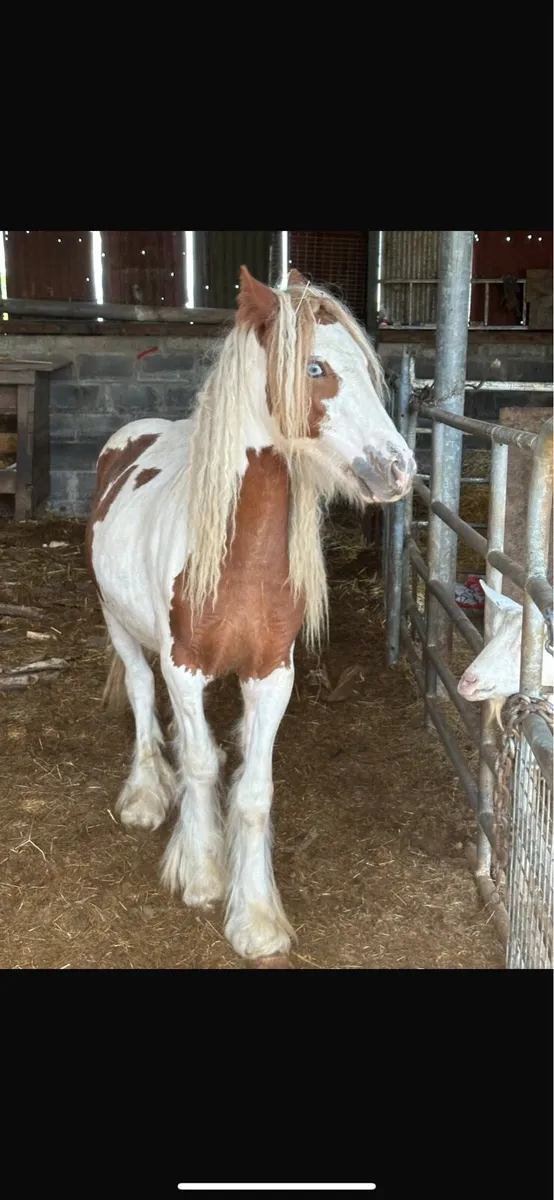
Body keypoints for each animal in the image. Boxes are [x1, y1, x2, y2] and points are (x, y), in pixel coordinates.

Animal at [85, 266, 416, 963]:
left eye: (367, 367)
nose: (398, 468)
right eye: (316, 367)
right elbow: (200, 764)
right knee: (140, 693)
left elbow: (255, 790)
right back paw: (147, 794)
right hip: (118, 624)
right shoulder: (184, 668)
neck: (236, 556)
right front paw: (201, 874)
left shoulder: (271, 674)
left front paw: (257, 918)